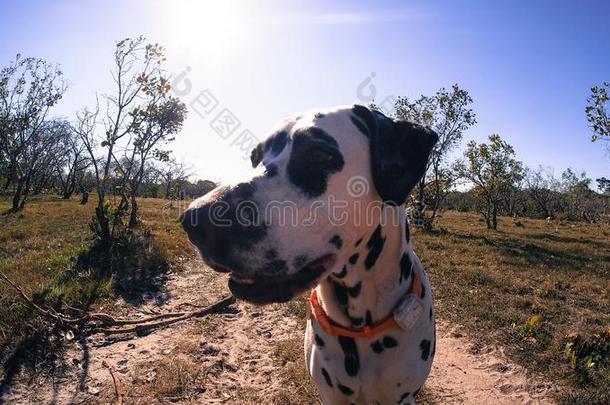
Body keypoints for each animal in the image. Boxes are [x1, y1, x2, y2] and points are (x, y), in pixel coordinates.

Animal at [180, 105, 436, 404]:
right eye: (255, 158)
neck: (361, 326)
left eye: (319, 155)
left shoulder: (400, 397)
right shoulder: (331, 396)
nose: (194, 219)